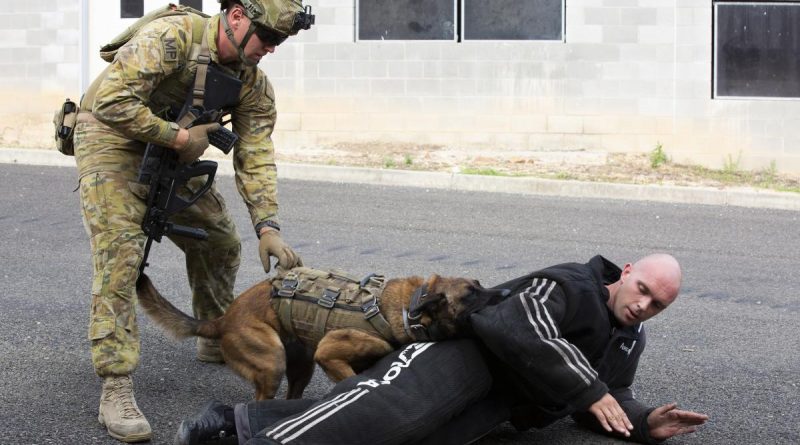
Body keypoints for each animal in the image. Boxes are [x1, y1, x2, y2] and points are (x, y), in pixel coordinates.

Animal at [134, 268, 504, 400]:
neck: (408, 309)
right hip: (272, 362)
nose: (503, 293)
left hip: (302, 367)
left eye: (480, 284)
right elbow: (350, 379)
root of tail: (223, 320)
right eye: (470, 294)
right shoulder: (330, 353)